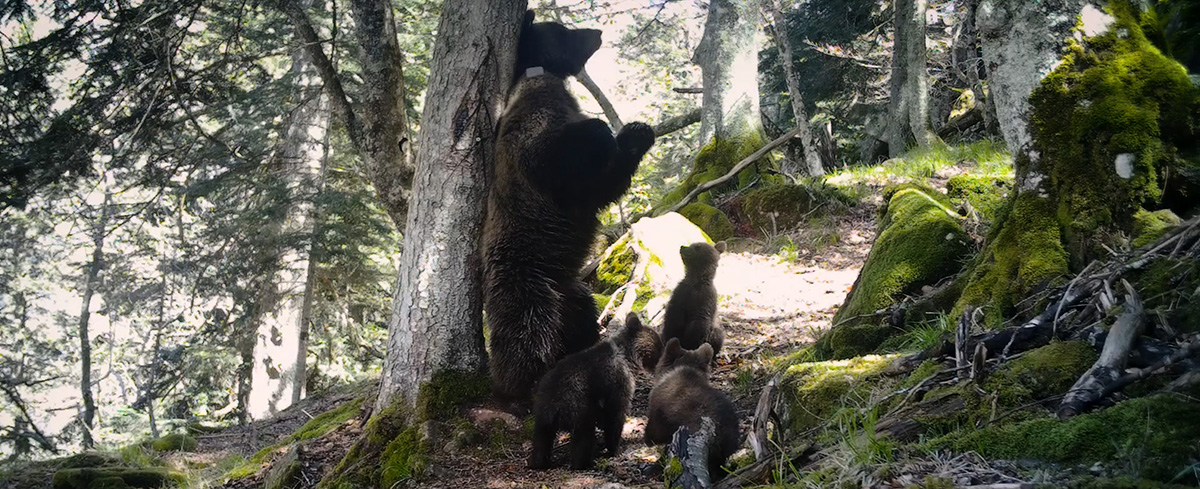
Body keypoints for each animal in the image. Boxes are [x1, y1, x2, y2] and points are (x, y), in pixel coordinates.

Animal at [482, 11, 662, 407]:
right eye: (563, 29)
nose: (596, 31)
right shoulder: (535, 139)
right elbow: (570, 165)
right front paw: (610, 131)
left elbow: (604, 185)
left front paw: (638, 132)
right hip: (525, 281)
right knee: (525, 333)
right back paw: (518, 386)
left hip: (572, 291)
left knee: (579, 317)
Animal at [528, 314, 662, 469]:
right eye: (659, 343)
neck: (628, 357)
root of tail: (553, 408)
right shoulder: (618, 382)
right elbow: (615, 416)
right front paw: (614, 448)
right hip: (578, 406)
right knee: (584, 437)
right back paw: (584, 463)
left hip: (542, 411)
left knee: (541, 439)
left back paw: (538, 462)